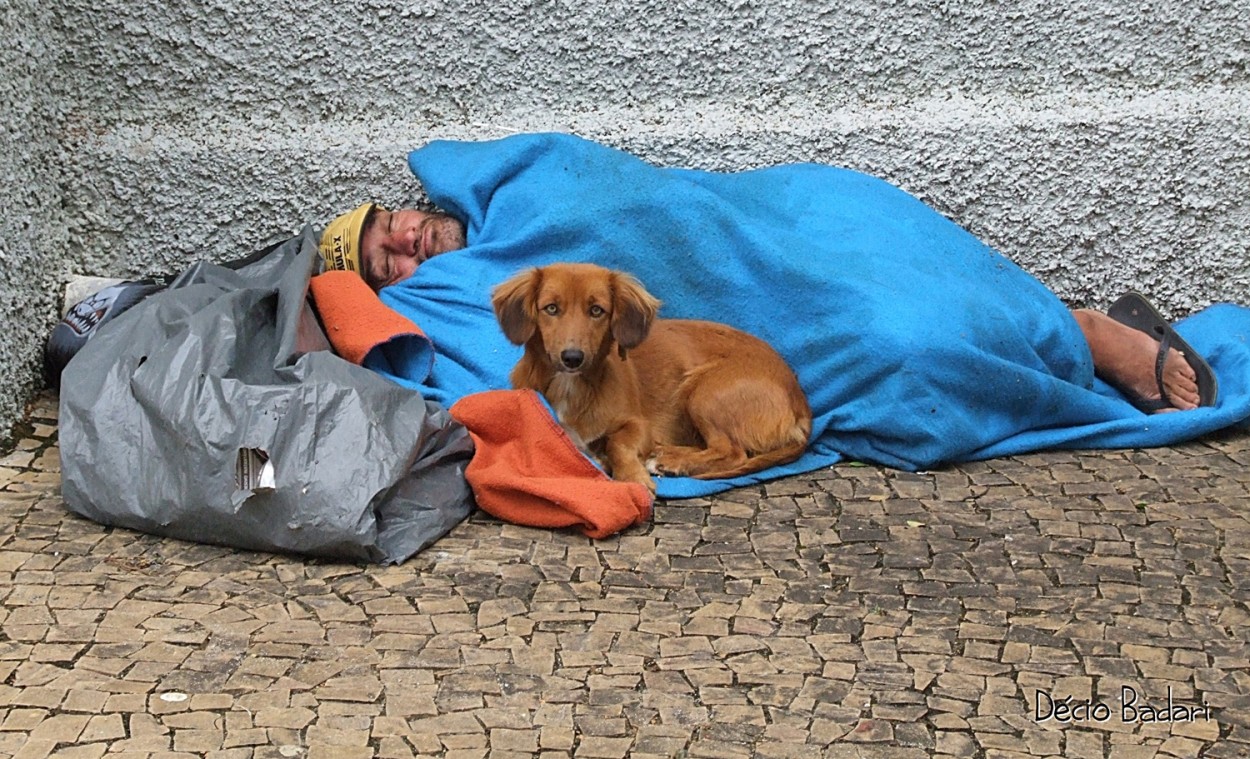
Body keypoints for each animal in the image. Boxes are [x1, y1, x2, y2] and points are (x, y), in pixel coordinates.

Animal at [487, 262, 810, 492]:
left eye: (597, 310)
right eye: (551, 308)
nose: (572, 358)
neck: (573, 388)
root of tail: (801, 403)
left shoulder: (637, 424)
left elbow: (618, 444)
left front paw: (632, 475)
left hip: (704, 390)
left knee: (731, 452)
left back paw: (673, 462)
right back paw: (666, 452)